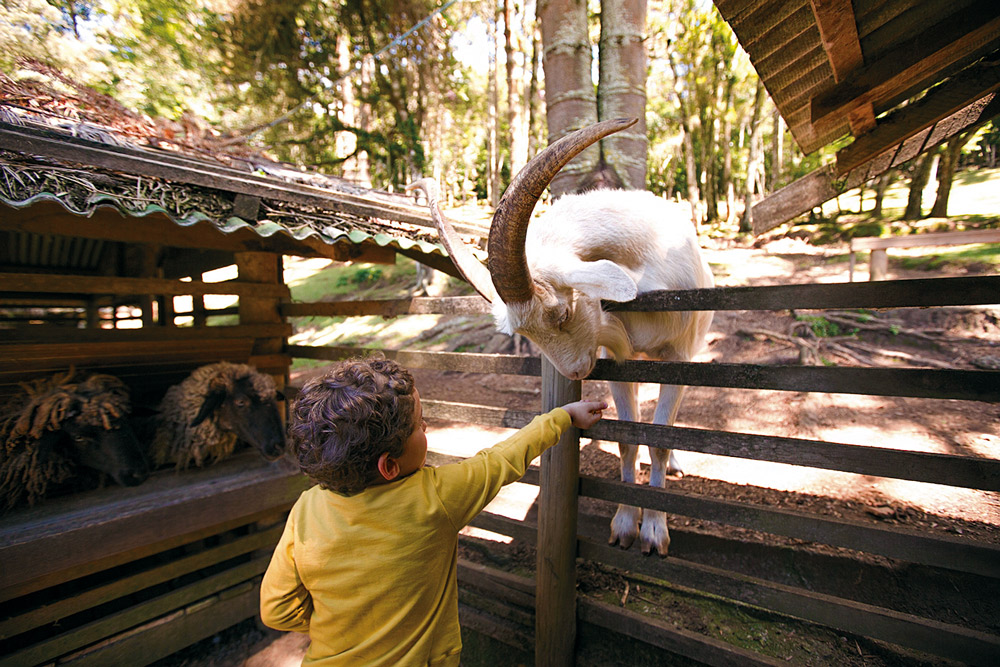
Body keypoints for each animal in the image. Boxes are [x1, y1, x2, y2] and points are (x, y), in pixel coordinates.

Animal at [410, 117, 716, 556]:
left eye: (562, 313)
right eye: (527, 333)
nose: (574, 373)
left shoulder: (677, 354)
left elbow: (658, 440)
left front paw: (655, 532)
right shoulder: (618, 360)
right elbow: (627, 440)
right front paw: (625, 526)